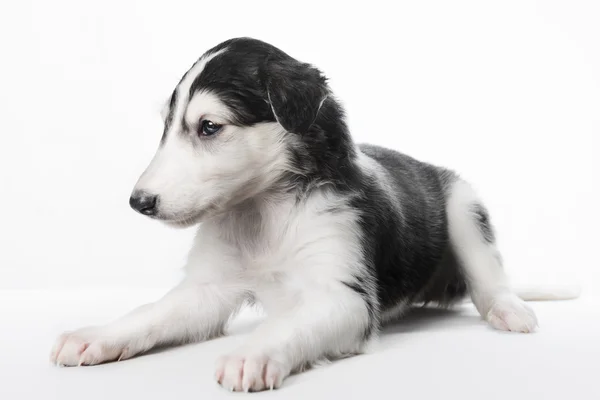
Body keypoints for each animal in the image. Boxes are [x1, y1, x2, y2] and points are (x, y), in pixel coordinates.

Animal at [49, 36, 576, 390]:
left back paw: (510, 309)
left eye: (208, 127)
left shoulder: (344, 294)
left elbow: (286, 325)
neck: (264, 213)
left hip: (464, 206)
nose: (138, 202)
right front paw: (96, 335)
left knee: (489, 278)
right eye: (166, 126)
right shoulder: (207, 290)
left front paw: (252, 354)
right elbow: (150, 312)